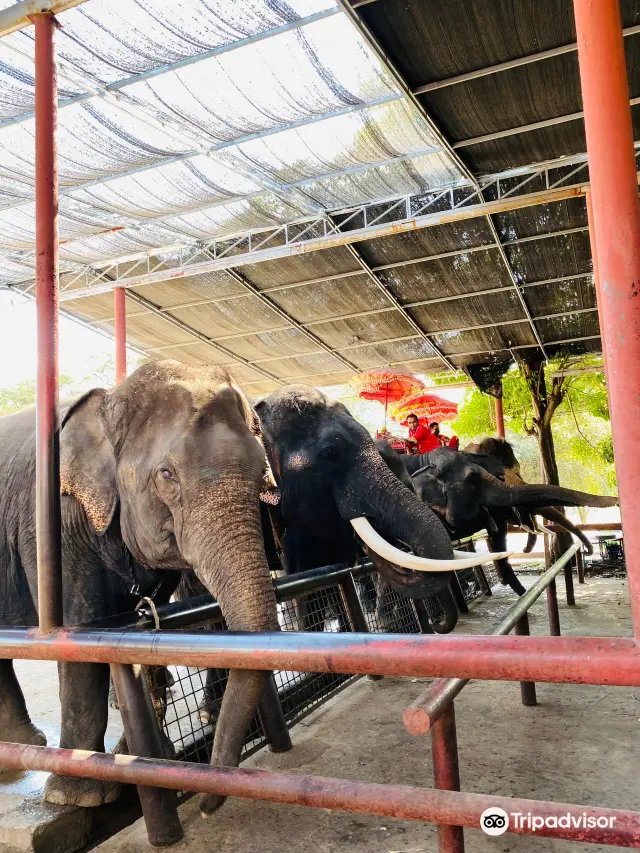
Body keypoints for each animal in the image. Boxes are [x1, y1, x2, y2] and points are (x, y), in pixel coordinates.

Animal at [0, 360, 278, 816]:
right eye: (166, 474)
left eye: (262, 479)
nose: (205, 805)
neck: (111, 400)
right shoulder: (54, 522)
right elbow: (80, 627)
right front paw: (79, 797)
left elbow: (145, 626)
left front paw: (152, 762)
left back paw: (25, 746)